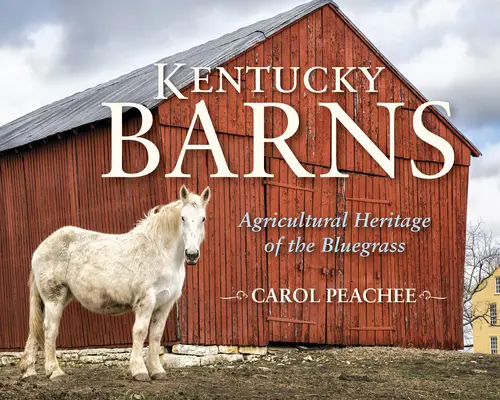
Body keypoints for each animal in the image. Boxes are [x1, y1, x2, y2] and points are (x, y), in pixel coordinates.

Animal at [19, 185, 211, 382]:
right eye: (183, 217)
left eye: (203, 218)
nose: (191, 254)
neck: (160, 251)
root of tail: (40, 248)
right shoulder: (146, 301)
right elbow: (140, 332)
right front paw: (139, 371)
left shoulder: (165, 304)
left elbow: (156, 335)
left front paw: (157, 371)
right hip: (54, 299)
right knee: (49, 330)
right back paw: (54, 372)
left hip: (54, 300)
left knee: (35, 332)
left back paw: (30, 372)